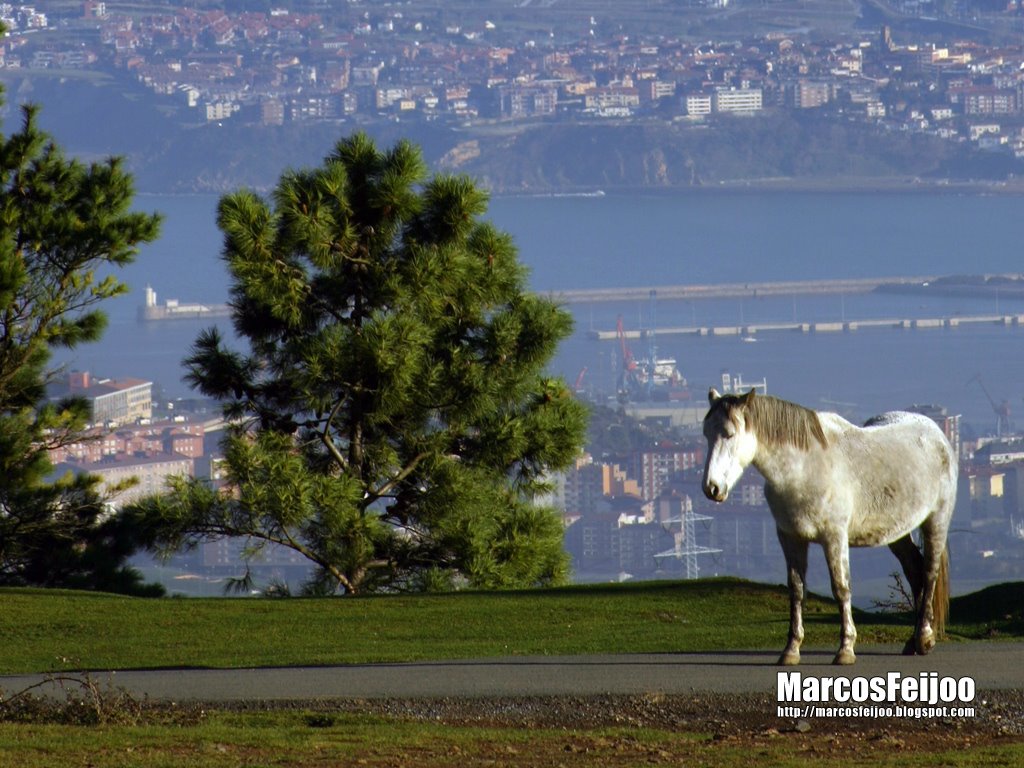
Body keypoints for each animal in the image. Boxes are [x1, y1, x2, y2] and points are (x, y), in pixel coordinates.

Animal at [700, 391, 954, 667]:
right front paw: (791, 650)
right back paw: (914, 640)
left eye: (729, 434)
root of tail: (937, 434)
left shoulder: (834, 538)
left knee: (929, 572)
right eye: (706, 434)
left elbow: (841, 589)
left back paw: (925, 638)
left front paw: (846, 649)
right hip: (897, 533)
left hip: (936, 521)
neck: (804, 469)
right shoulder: (790, 538)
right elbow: (797, 590)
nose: (711, 488)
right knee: (914, 571)